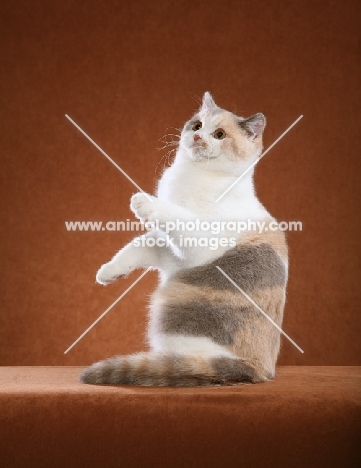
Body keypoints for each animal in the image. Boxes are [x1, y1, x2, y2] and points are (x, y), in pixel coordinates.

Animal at [79, 92, 286, 388]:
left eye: (220, 134)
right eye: (197, 125)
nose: (198, 137)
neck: (194, 177)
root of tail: (261, 369)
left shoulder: (200, 243)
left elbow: (175, 215)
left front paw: (145, 202)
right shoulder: (168, 249)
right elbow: (137, 245)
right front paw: (109, 272)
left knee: (190, 363)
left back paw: (164, 365)